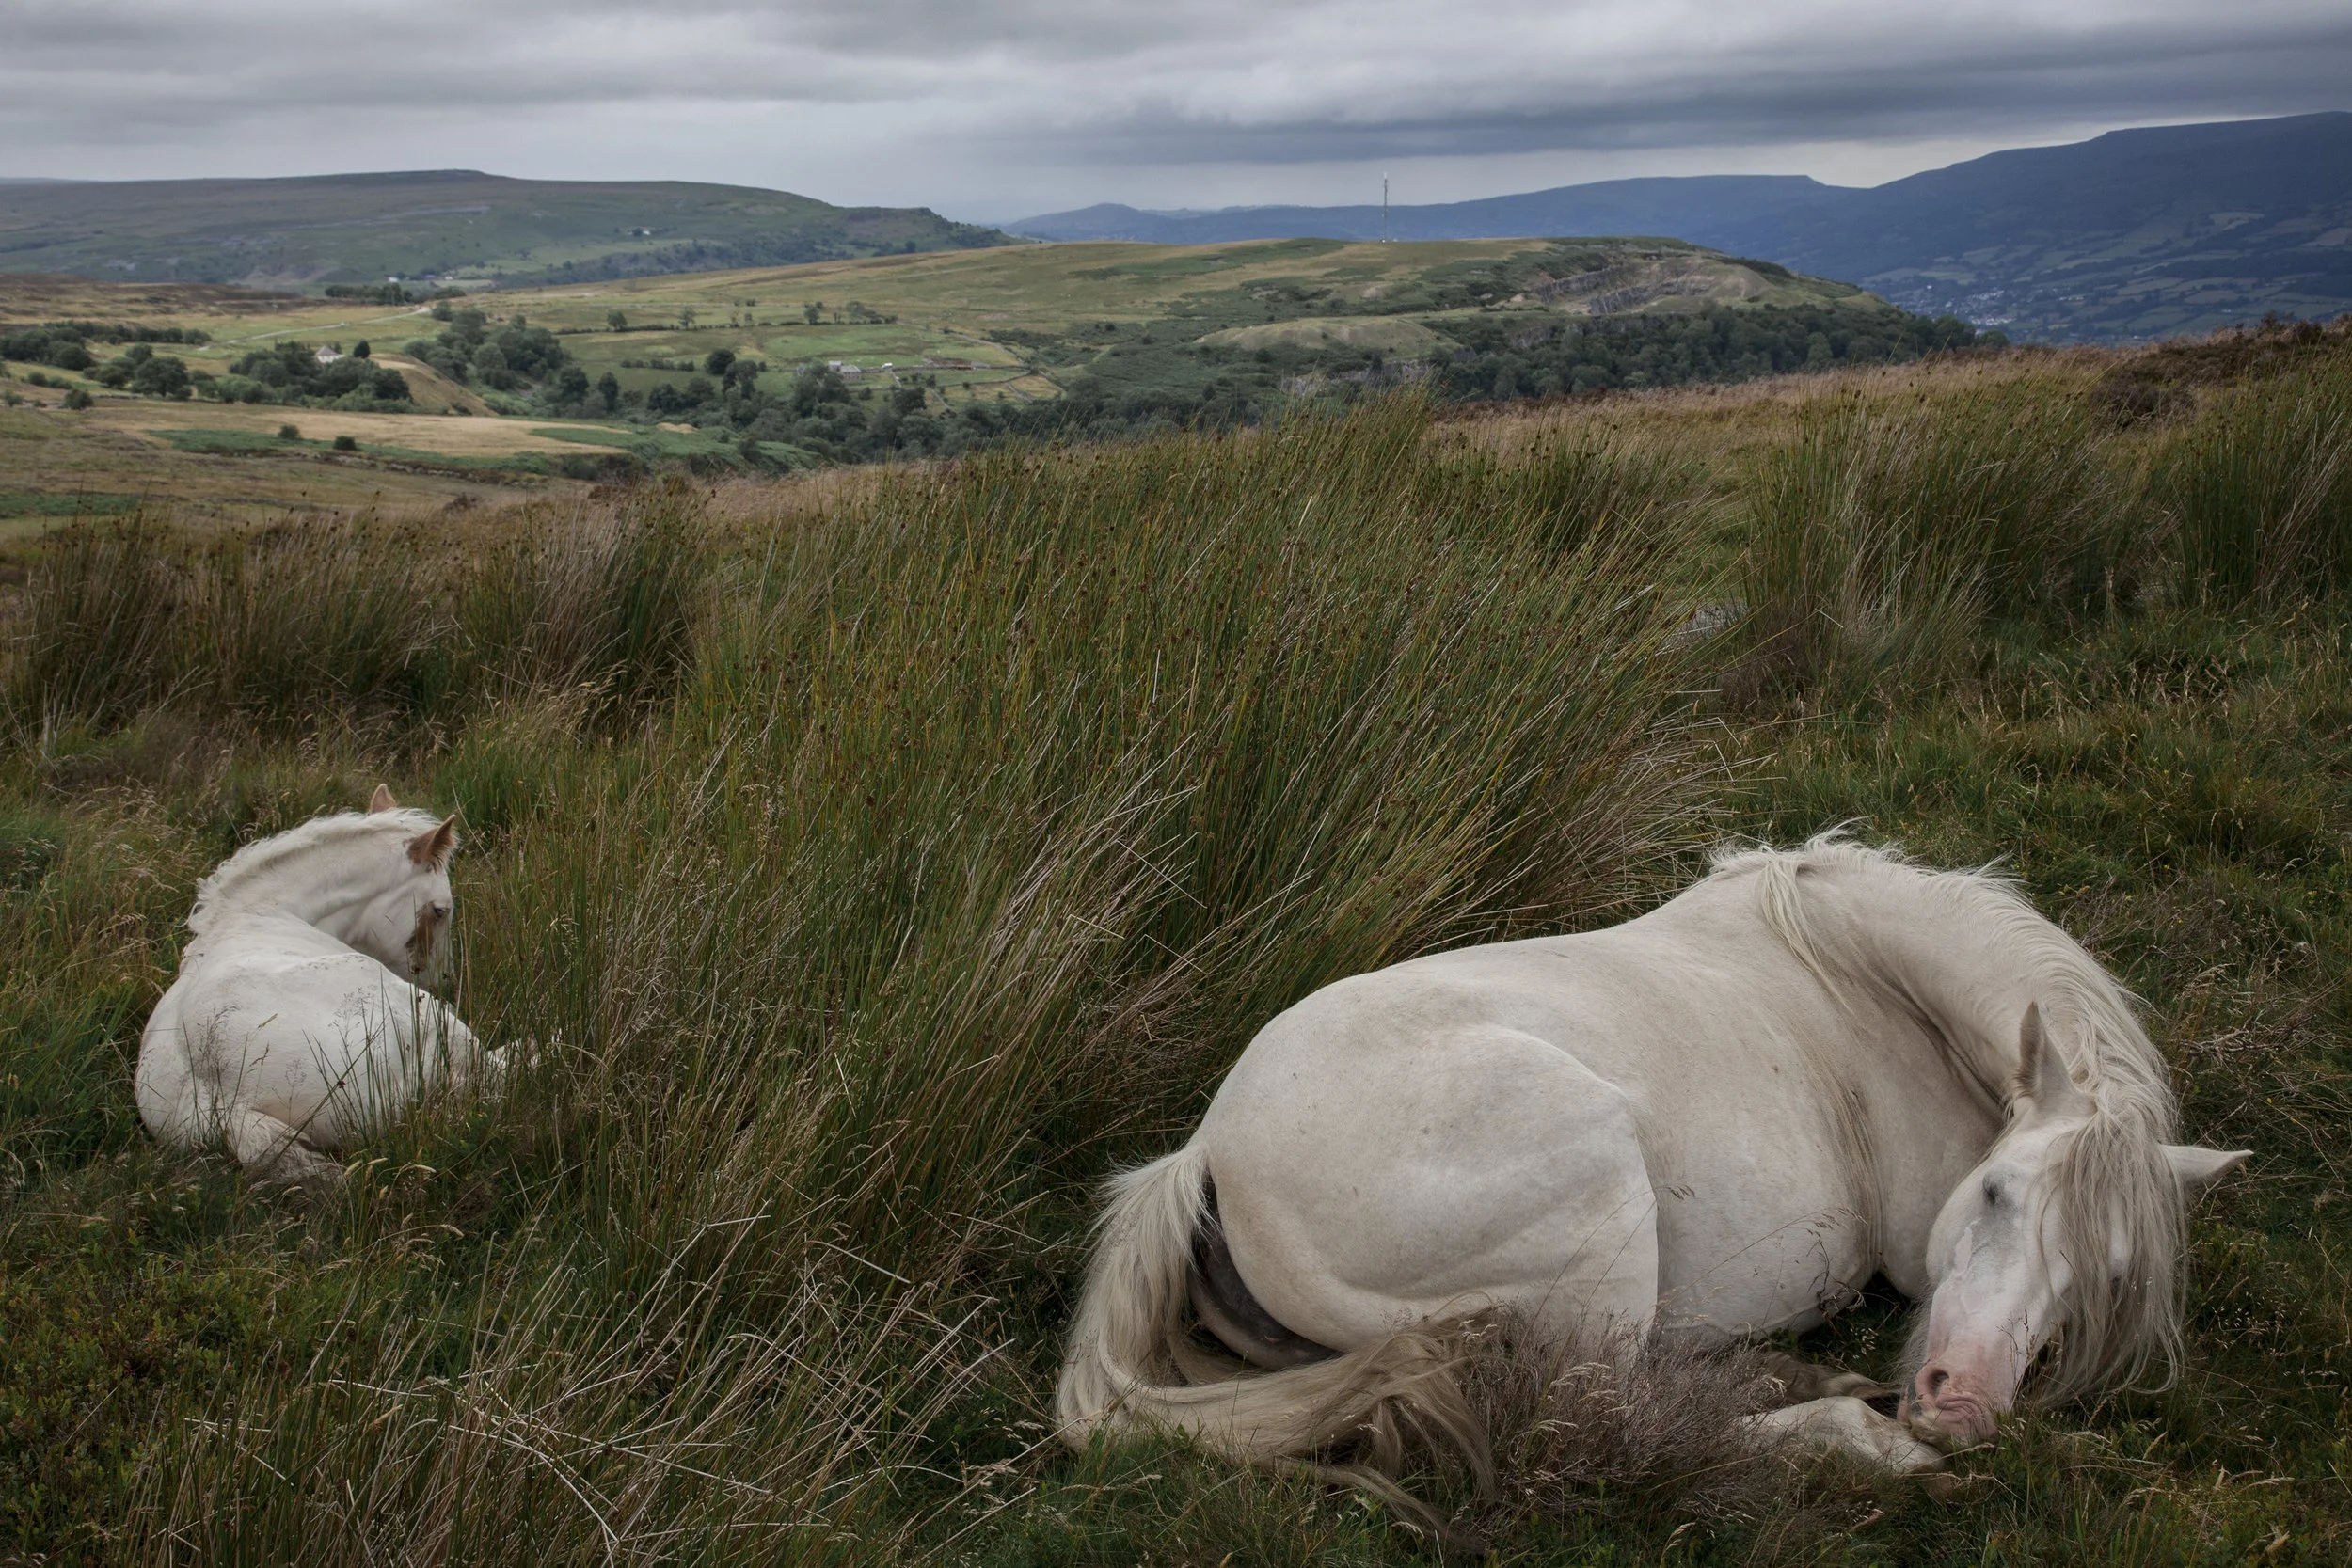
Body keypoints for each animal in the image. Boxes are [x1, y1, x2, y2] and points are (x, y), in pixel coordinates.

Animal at [1056, 835, 2246, 1482]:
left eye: (2112, 1278)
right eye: (1995, 1190)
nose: (1962, 1400)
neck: (1866, 982)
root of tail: (1207, 1152)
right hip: (1600, 1202)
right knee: (1616, 1417)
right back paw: (1849, 1429)